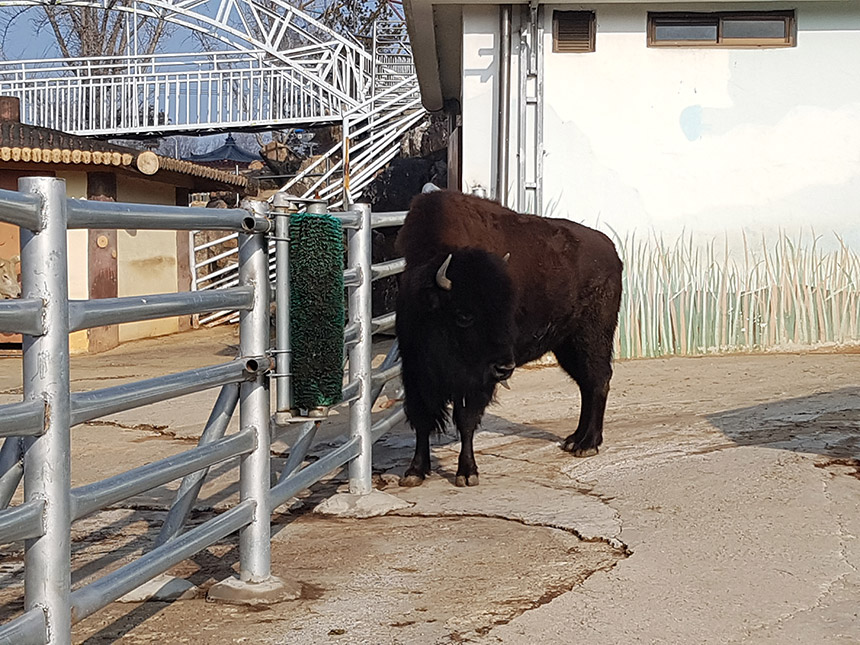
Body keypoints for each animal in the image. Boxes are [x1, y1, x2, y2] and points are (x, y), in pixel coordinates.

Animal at [394, 191, 620, 488]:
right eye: (464, 315)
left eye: (508, 311)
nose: (504, 368)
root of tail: (612, 252)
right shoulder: (415, 371)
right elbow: (422, 418)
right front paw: (415, 472)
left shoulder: (475, 382)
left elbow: (465, 420)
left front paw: (467, 473)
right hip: (566, 345)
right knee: (586, 384)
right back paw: (574, 440)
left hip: (591, 339)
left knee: (598, 380)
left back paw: (588, 444)